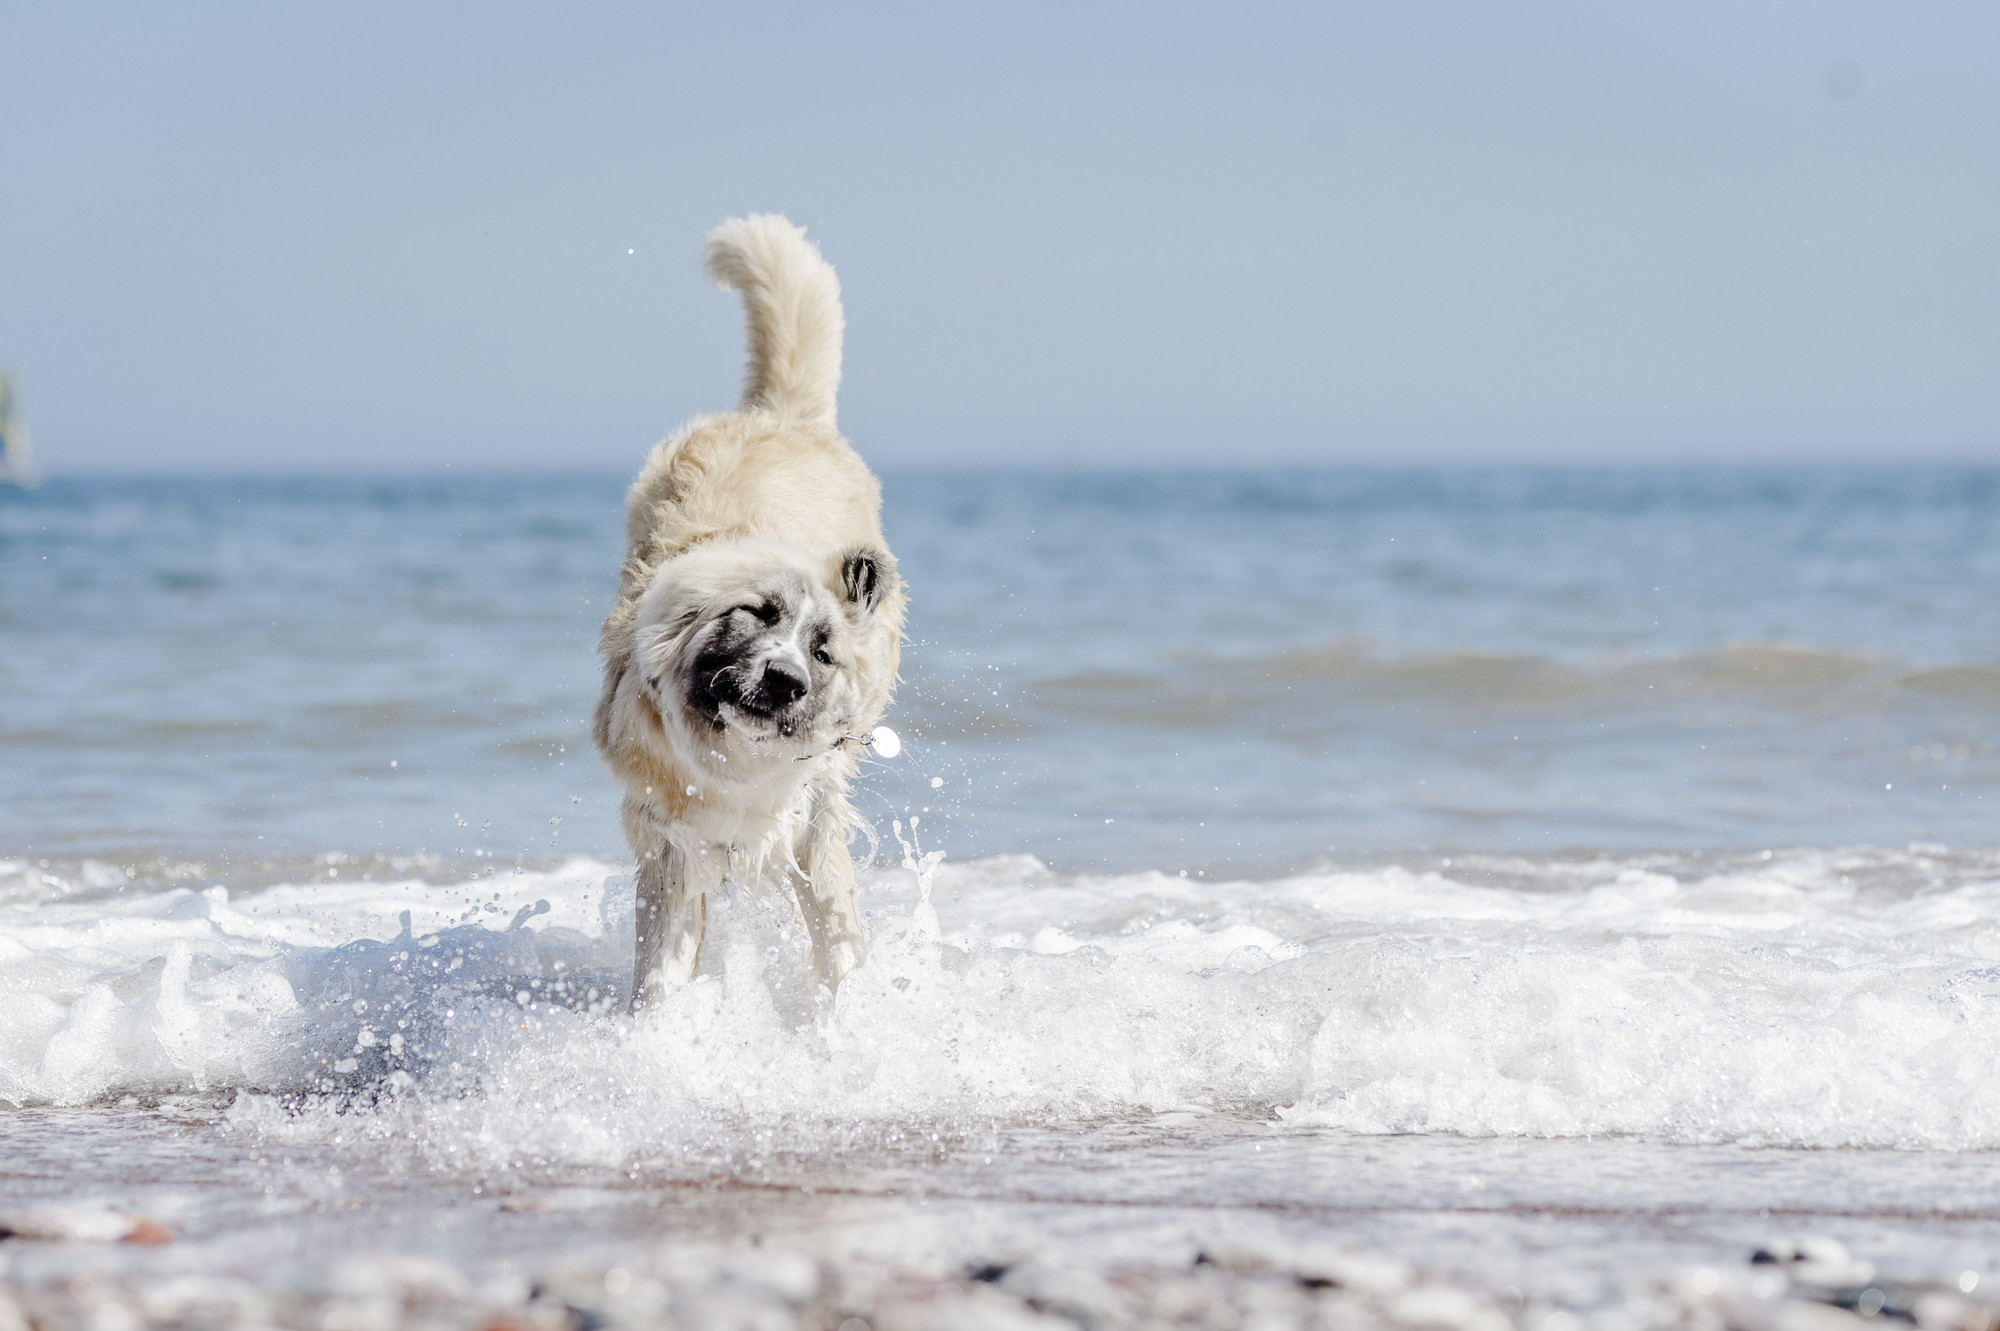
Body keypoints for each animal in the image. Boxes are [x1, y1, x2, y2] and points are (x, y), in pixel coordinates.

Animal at [588, 214, 904, 1007]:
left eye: (821, 650)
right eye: (758, 615)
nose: (785, 681)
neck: (737, 764)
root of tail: (777, 416)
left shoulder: (811, 824)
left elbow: (839, 944)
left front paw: (850, 1019)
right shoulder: (671, 844)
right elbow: (663, 972)